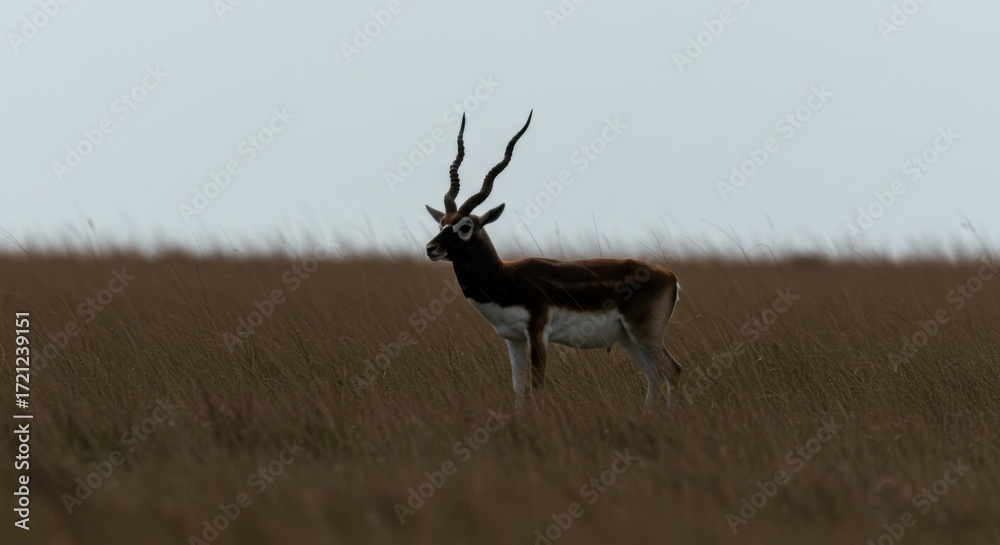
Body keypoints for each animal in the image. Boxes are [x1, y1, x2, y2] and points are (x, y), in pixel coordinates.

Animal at [424, 111, 684, 408]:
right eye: (442, 223)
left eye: (465, 226)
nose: (431, 248)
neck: (507, 280)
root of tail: (670, 277)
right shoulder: (513, 339)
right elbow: (518, 390)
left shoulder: (538, 334)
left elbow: (537, 388)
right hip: (627, 338)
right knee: (654, 375)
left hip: (644, 334)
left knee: (672, 371)